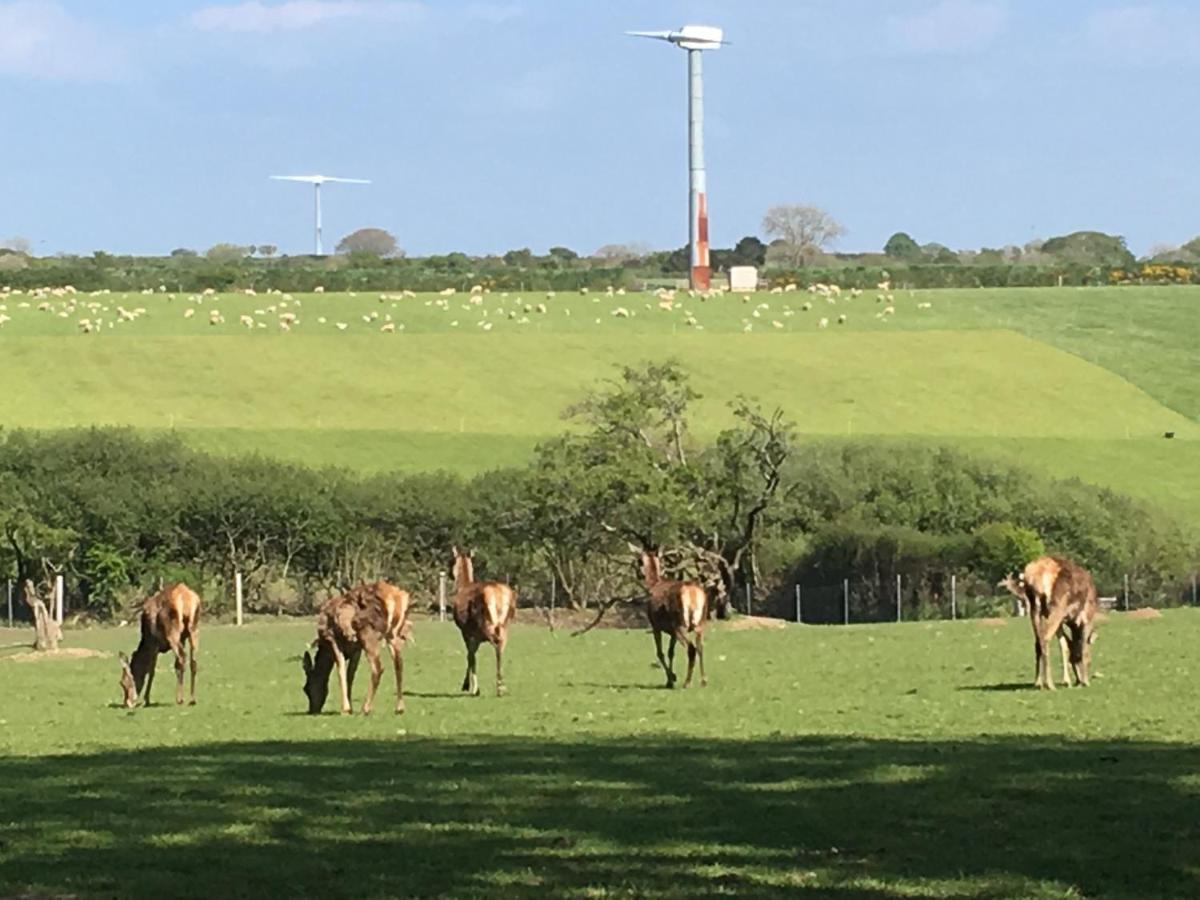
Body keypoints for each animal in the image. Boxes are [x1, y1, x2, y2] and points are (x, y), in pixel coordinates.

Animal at [302, 585, 415, 720]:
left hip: (367, 633)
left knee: (378, 667)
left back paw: (365, 709)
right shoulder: (357, 649)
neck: (325, 648)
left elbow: (341, 671)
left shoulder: (332, 639)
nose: (312, 710)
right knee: (399, 663)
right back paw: (399, 708)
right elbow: (350, 675)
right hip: (393, 633)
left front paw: (345, 709)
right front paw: (350, 707)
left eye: (306, 688)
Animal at [451, 549, 516, 696]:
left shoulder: (467, 631)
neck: (463, 586)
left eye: (451, 561)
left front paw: (471, 687)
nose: (451, 575)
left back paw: (499, 687)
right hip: (505, 625)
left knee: (496, 645)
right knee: (501, 647)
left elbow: (470, 656)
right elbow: (472, 655)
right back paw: (502, 686)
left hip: (486, 624)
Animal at [643, 549, 705, 691]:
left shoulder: (655, 626)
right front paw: (669, 679)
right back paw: (703, 681)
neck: (653, 584)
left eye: (639, 560)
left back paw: (687, 683)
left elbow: (660, 653)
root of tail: (692, 593)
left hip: (681, 625)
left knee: (691, 648)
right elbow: (671, 652)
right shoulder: (671, 632)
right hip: (699, 624)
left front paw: (672, 679)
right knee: (700, 647)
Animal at [998, 556, 1099, 691]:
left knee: (1037, 641)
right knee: (1045, 638)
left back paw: (1038, 682)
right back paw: (1049, 684)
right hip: (1056, 607)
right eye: (1074, 660)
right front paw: (1086, 682)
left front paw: (1067, 681)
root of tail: (1035, 576)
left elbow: (1064, 645)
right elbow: (1083, 649)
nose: (1078, 681)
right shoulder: (1087, 617)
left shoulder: (1062, 622)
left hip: (1035, 608)